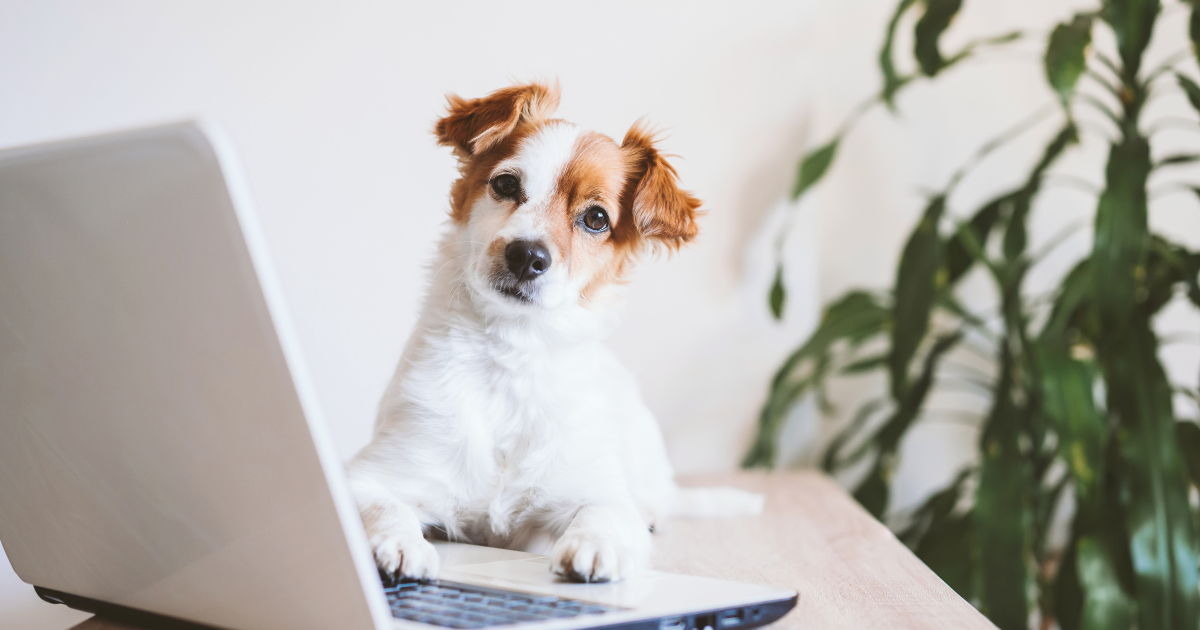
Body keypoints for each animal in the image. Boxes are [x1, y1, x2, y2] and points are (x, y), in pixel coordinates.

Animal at [345, 82, 758, 585]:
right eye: (506, 184)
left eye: (596, 219)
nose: (527, 255)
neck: (512, 354)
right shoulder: (371, 475)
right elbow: (385, 508)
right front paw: (400, 544)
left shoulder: (598, 492)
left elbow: (604, 514)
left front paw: (594, 546)